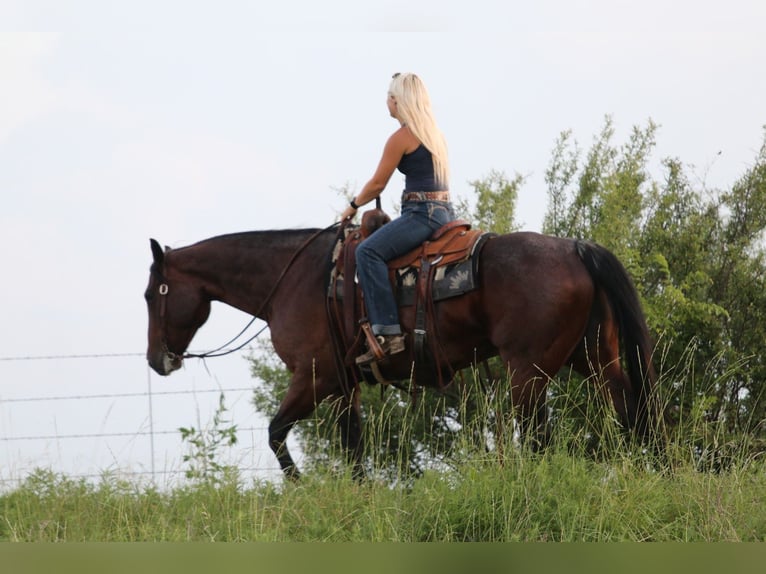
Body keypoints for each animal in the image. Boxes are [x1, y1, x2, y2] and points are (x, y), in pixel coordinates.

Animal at [145, 223, 659, 480]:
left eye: (152, 294)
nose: (156, 360)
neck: (296, 279)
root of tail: (575, 248)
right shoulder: (343, 386)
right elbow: (353, 447)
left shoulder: (313, 377)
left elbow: (275, 433)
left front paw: (299, 486)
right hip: (592, 358)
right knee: (629, 408)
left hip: (528, 371)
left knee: (538, 438)